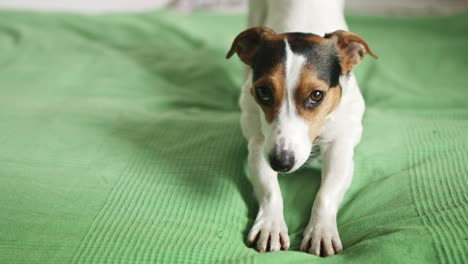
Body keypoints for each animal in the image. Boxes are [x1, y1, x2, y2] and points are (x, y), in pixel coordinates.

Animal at [226, 0, 376, 256]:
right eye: (263, 92)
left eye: (316, 95)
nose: (281, 163)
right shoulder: (259, 146)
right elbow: (270, 189)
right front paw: (271, 225)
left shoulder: (341, 147)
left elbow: (326, 193)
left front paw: (320, 231)